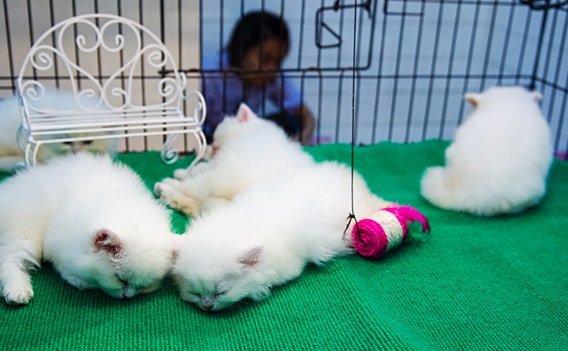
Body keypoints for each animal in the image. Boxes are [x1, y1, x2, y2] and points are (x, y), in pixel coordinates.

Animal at [0, 154, 178, 306]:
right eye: (121, 280)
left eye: (142, 286)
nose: (128, 296)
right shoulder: (58, 243)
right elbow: (65, 269)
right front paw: (81, 282)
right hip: (25, 234)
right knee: (9, 260)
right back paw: (17, 291)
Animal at [155, 103, 312, 216]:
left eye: (218, 138)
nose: (214, 146)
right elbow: (203, 166)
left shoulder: (224, 162)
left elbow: (200, 168)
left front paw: (183, 172)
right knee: (195, 203)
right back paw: (167, 192)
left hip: (220, 179)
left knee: (192, 188)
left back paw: (165, 185)